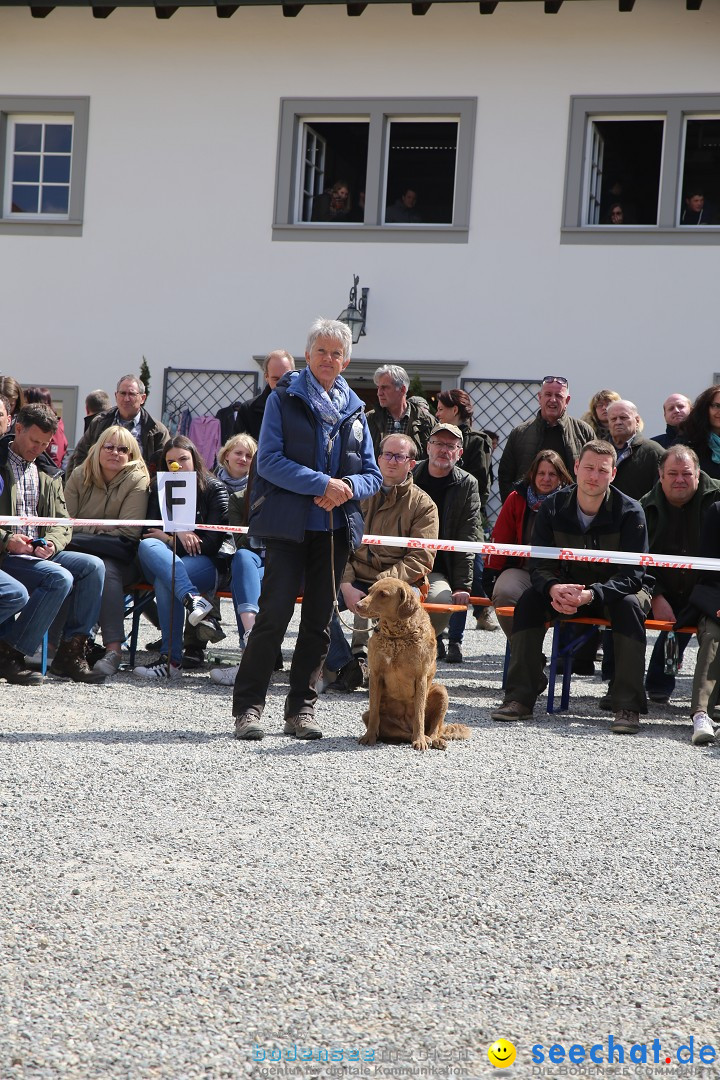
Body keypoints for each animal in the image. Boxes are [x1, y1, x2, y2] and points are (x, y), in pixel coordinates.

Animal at [354, 583, 472, 751]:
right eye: (369, 591)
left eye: (383, 594)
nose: (357, 605)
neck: (396, 636)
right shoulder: (375, 675)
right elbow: (375, 713)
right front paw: (368, 737)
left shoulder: (420, 677)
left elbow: (419, 714)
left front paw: (420, 740)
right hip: (368, 714)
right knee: (401, 732)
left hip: (440, 691)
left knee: (433, 729)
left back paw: (432, 739)